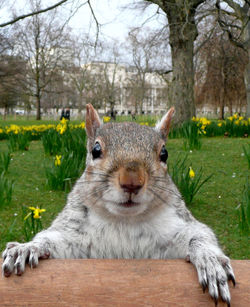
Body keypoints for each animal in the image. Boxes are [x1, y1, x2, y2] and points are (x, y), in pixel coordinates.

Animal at [2, 104, 234, 306]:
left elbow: (199, 235)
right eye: (96, 150)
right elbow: (55, 241)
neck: (124, 220)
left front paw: (210, 260)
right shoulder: (76, 239)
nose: (132, 181)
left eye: (164, 153)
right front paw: (27, 248)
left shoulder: (175, 229)